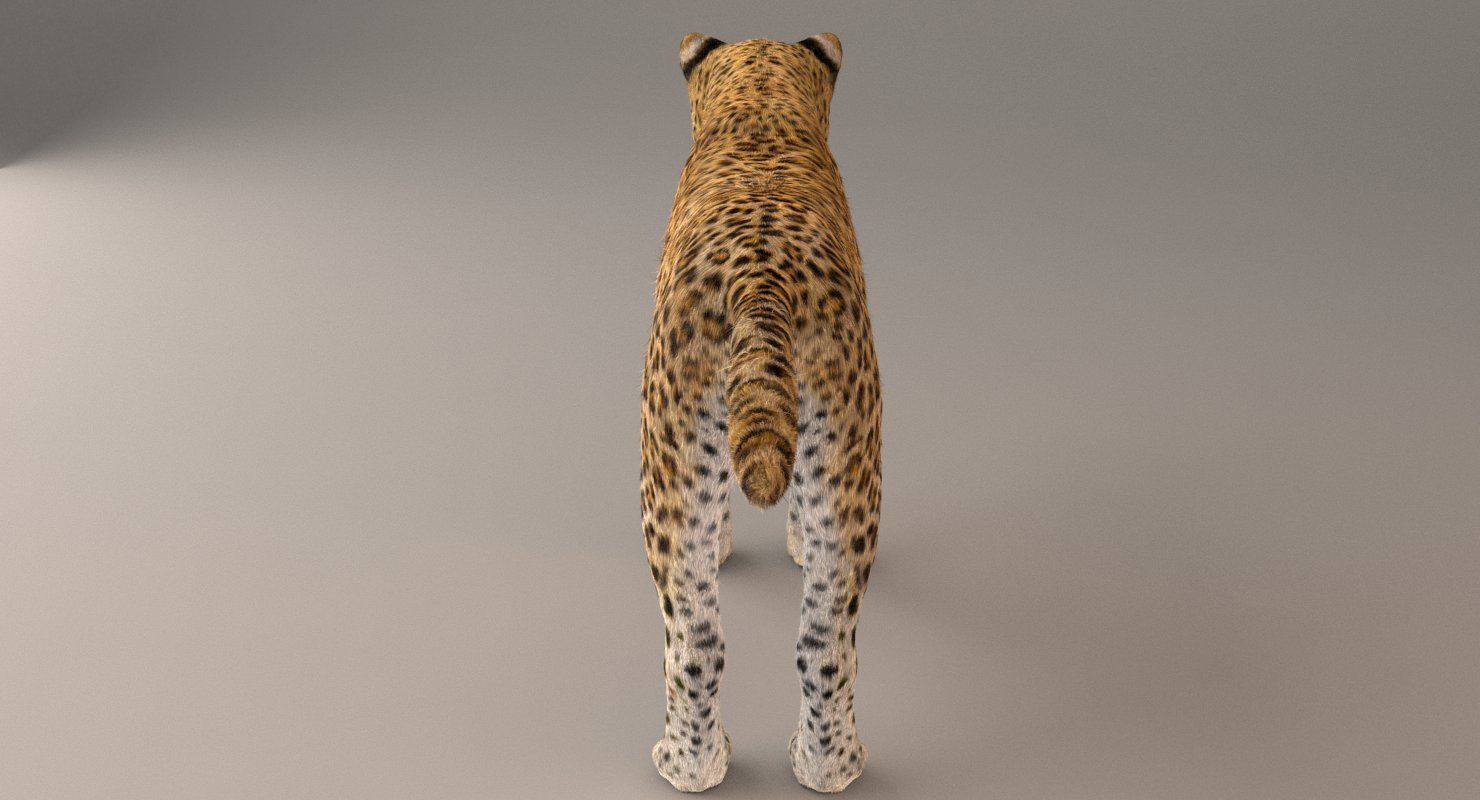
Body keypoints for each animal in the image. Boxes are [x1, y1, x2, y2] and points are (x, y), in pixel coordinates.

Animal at [639, 32, 881, 793]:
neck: (761, 113)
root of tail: (761, 281)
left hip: (670, 471)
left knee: (694, 638)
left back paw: (690, 763)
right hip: (844, 466)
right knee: (824, 641)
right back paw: (823, 767)